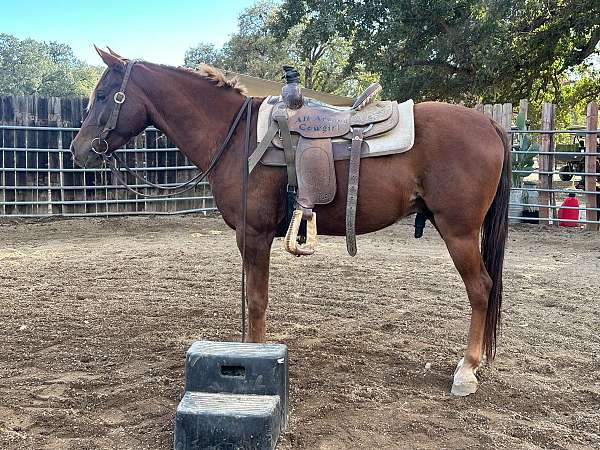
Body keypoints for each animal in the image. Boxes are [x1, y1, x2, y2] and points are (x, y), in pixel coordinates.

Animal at [71, 47, 510, 396]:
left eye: (104, 95)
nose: (78, 150)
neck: (236, 138)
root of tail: (489, 123)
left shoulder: (255, 235)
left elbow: (257, 300)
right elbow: (252, 297)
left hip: (459, 232)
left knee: (481, 289)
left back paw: (467, 371)